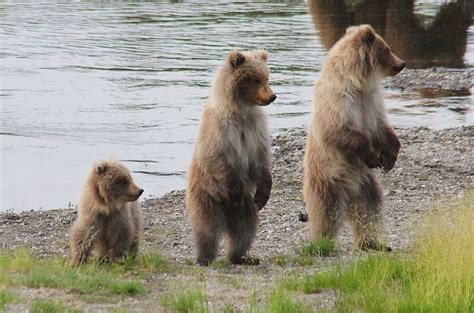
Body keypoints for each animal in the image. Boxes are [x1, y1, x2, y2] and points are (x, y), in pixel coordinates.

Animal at [184, 50, 274, 264]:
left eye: (267, 77)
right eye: (255, 79)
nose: (272, 96)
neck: (241, 110)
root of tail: (227, 218)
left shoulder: (255, 129)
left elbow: (262, 158)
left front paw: (264, 193)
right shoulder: (219, 129)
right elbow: (216, 156)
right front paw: (235, 191)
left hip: (246, 209)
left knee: (246, 230)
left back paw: (241, 257)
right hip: (206, 197)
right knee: (206, 229)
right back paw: (204, 257)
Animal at [304, 24, 404, 250]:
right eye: (387, 49)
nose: (402, 63)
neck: (358, 83)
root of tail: (348, 191)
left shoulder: (372, 101)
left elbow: (383, 129)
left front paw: (390, 158)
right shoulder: (338, 100)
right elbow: (339, 131)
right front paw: (373, 157)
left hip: (366, 184)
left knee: (369, 209)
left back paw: (373, 242)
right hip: (327, 177)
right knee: (325, 211)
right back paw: (322, 242)